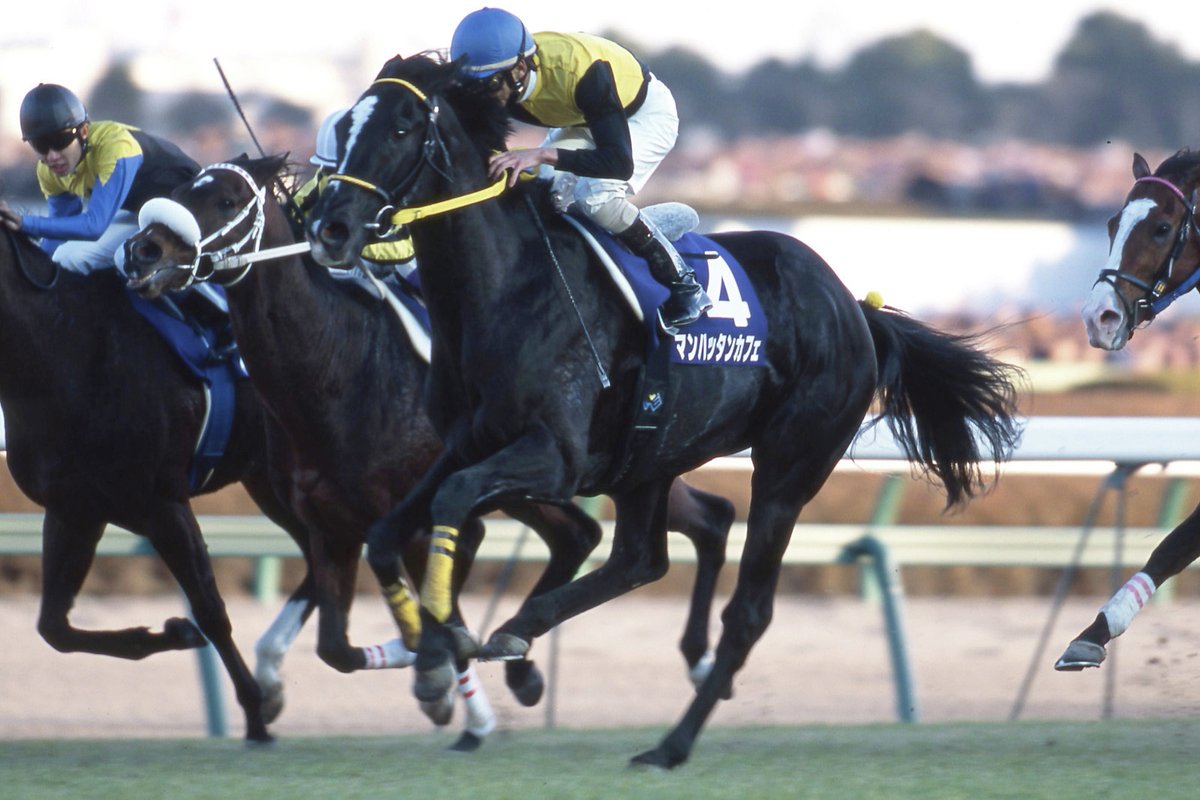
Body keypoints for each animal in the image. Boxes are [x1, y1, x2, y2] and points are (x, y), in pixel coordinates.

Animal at [0, 223, 317, 742]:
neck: (63, 349)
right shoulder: (74, 509)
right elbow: (54, 627)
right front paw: (174, 633)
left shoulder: (162, 504)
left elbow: (210, 610)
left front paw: (254, 715)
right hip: (272, 482)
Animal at [120, 154, 737, 747]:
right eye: (182, 188)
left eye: (226, 198)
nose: (143, 250)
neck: (339, 367)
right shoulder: (330, 525)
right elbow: (337, 647)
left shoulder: (436, 520)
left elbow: (435, 612)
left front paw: (450, 689)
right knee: (596, 532)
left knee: (703, 518)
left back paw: (697, 661)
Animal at [304, 54, 1023, 768]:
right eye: (344, 128)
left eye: (400, 128)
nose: (329, 228)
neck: (504, 287)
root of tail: (852, 307)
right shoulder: (469, 441)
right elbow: (387, 531)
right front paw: (437, 657)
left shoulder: (554, 457)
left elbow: (453, 500)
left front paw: (439, 648)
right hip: (649, 456)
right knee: (640, 559)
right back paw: (523, 635)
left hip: (789, 467)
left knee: (747, 609)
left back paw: (669, 744)